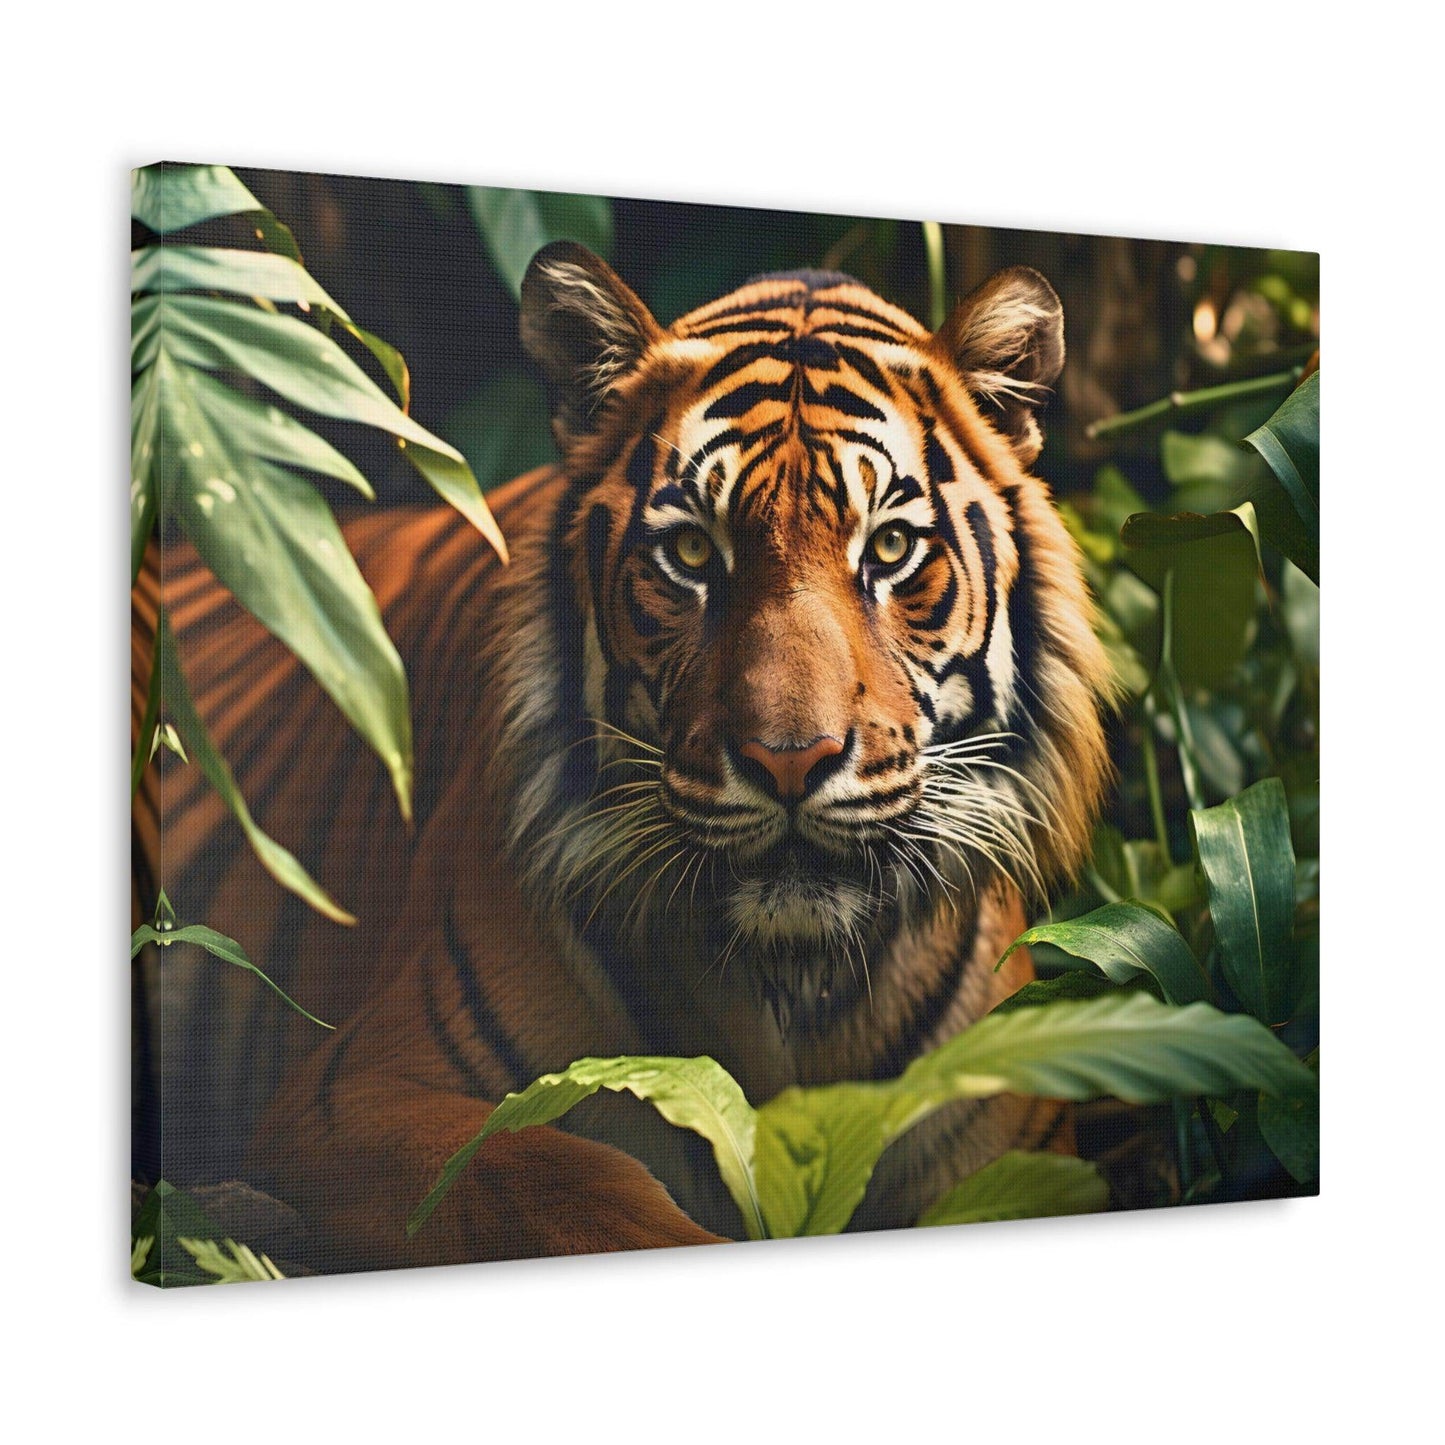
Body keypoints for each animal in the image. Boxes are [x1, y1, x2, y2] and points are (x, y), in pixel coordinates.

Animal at [131, 243, 1115, 1272]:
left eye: (888, 547)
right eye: (691, 552)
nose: (789, 760)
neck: (790, 988)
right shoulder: (347, 1095)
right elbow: (551, 1176)